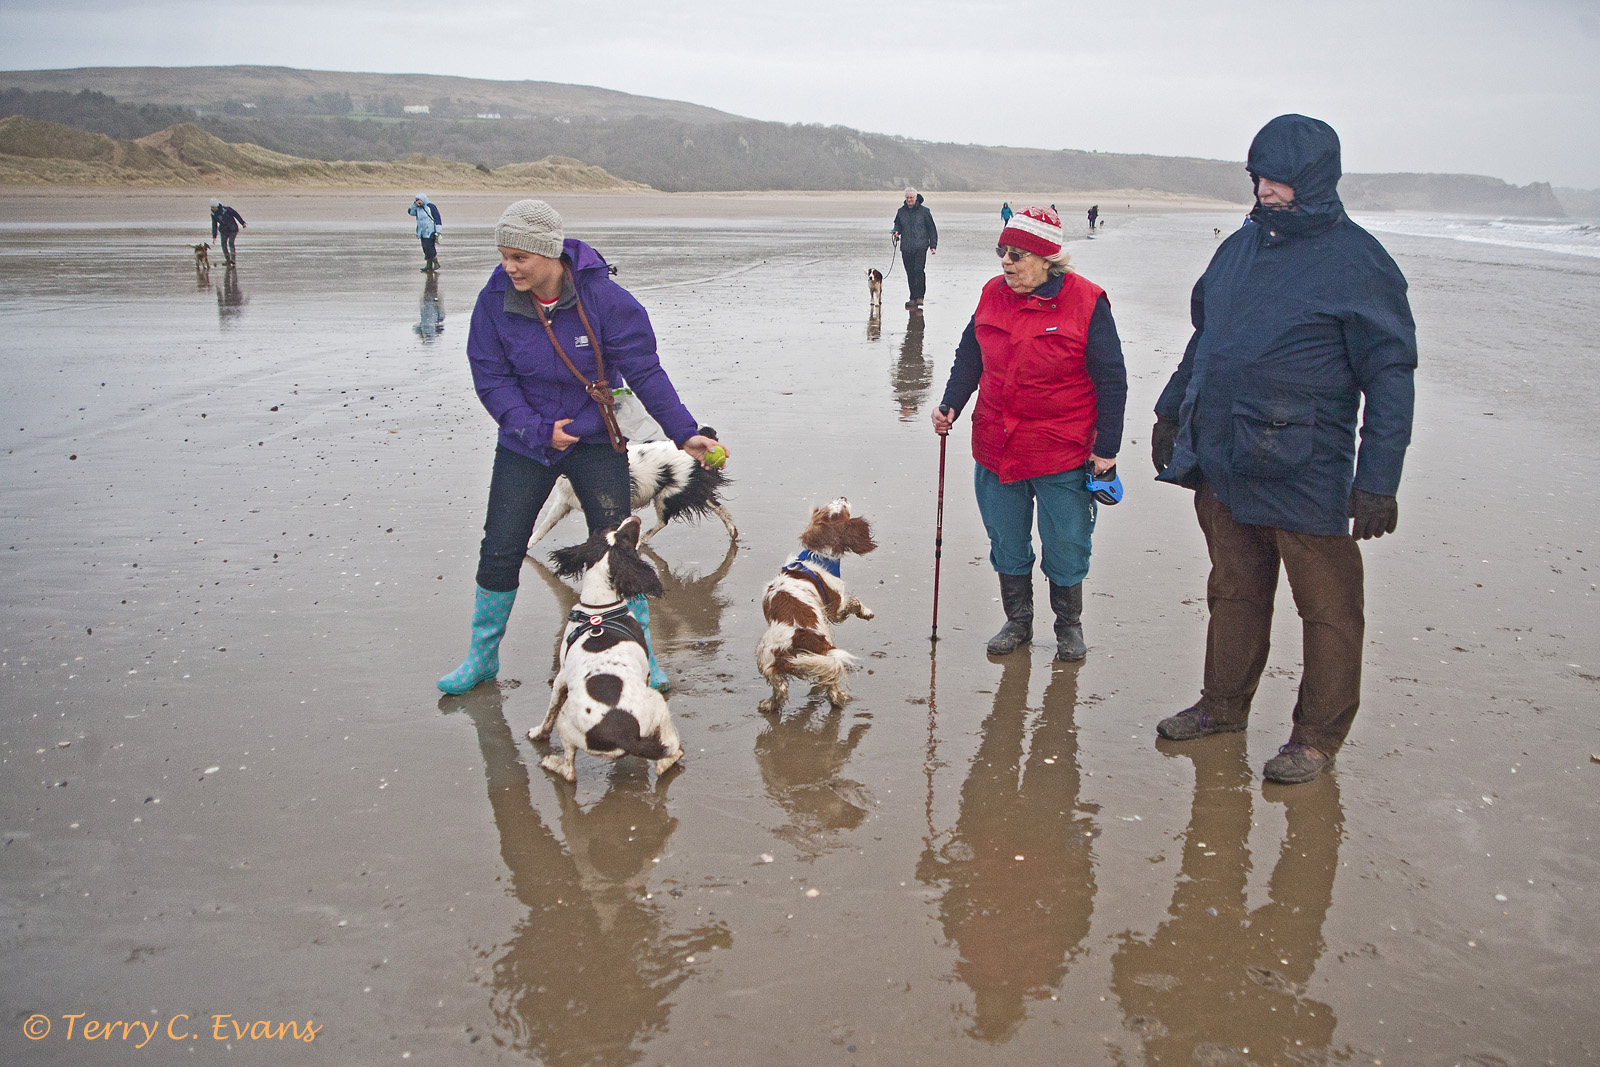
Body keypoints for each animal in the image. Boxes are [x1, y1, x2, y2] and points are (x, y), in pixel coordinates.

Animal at [527, 426, 737, 549]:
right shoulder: (563, 502)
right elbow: (544, 526)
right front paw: (528, 544)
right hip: (690, 491)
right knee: (719, 507)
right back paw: (733, 531)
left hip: (668, 495)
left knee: (662, 521)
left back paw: (641, 540)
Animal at [531, 516, 684, 783]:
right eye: (626, 536)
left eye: (613, 532)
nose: (634, 517)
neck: (599, 609)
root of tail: (622, 733)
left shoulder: (561, 677)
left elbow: (549, 711)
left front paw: (538, 733)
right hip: (655, 702)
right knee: (667, 756)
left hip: (567, 724)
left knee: (569, 769)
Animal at [755, 498, 877, 714]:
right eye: (839, 511)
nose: (843, 497)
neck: (815, 557)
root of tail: (797, 641)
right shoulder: (836, 607)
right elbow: (854, 601)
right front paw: (866, 612)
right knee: (832, 688)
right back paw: (840, 697)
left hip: (767, 658)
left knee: (781, 688)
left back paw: (769, 704)